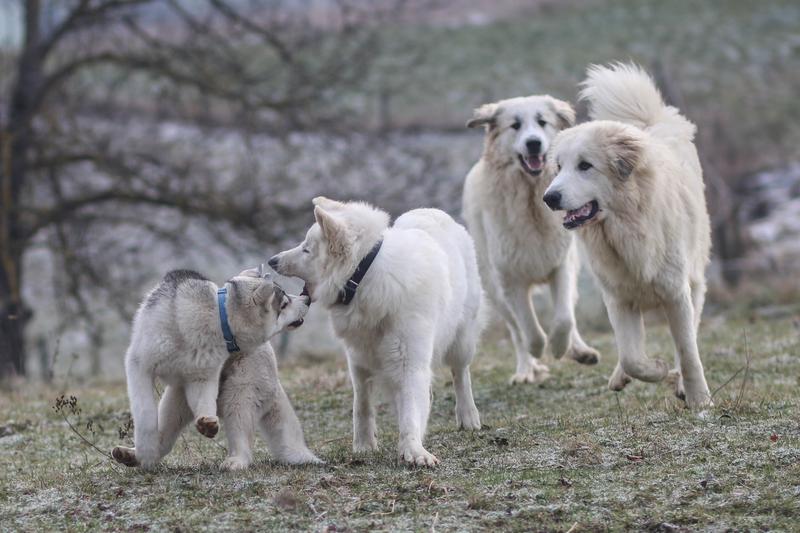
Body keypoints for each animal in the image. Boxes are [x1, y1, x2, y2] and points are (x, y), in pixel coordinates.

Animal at [112, 268, 318, 468]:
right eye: (284, 304)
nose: (306, 298)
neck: (218, 316)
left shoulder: (202, 376)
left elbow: (205, 400)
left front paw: (207, 424)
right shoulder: (140, 366)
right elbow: (145, 412)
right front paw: (146, 451)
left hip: (239, 394)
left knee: (241, 437)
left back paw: (236, 461)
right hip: (174, 400)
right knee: (165, 436)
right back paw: (134, 455)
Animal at [268, 196, 482, 466]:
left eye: (306, 249)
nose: (272, 261)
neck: (365, 277)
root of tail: (432, 211)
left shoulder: (409, 361)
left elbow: (411, 410)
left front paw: (413, 449)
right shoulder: (358, 359)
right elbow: (362, 405)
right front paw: (364, 445)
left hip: (461, 341)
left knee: (460, 374)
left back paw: (468, 417)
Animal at [462, 92, 600, 382]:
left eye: (542, 122)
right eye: (515, 125)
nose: (534, 143)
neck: (530, 200)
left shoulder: (561, 265)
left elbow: (564, 319)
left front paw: (559, 347)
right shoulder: (510, 278)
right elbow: (528, 326)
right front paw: (537, 351)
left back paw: (580, 351)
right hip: (494, 289)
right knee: (516, 330)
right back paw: (526, 369)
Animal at [544, 64, 712, 410]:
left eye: (585, 166)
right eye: (559, 166)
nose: (549, 198)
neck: (624, 229)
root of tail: (649, 122)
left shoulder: (676, 292)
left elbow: (687, 351)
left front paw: (698, 398)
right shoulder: (618, 297)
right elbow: (632, 356)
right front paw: (655, 368)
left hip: (694, 281)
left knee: (688, 334)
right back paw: (622, 376)